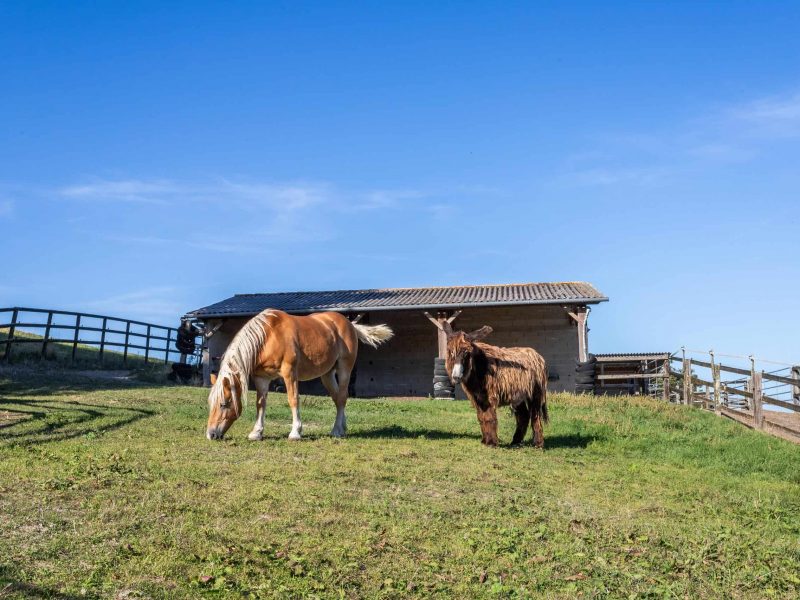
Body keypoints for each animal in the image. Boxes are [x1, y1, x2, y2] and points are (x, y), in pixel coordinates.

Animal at [206, 309, 393, 441]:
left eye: (224, 404)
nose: (211, 434)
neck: (268, 337)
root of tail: (350, 324)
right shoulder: (261, 378)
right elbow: (260, 404)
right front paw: (256, 433)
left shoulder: (289, 373)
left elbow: (293, 399)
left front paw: (295, 432)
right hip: (327, 374)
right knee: (338, 398)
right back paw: (342, 428)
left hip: (344, 369)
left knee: (342, 397)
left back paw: (336, 431)